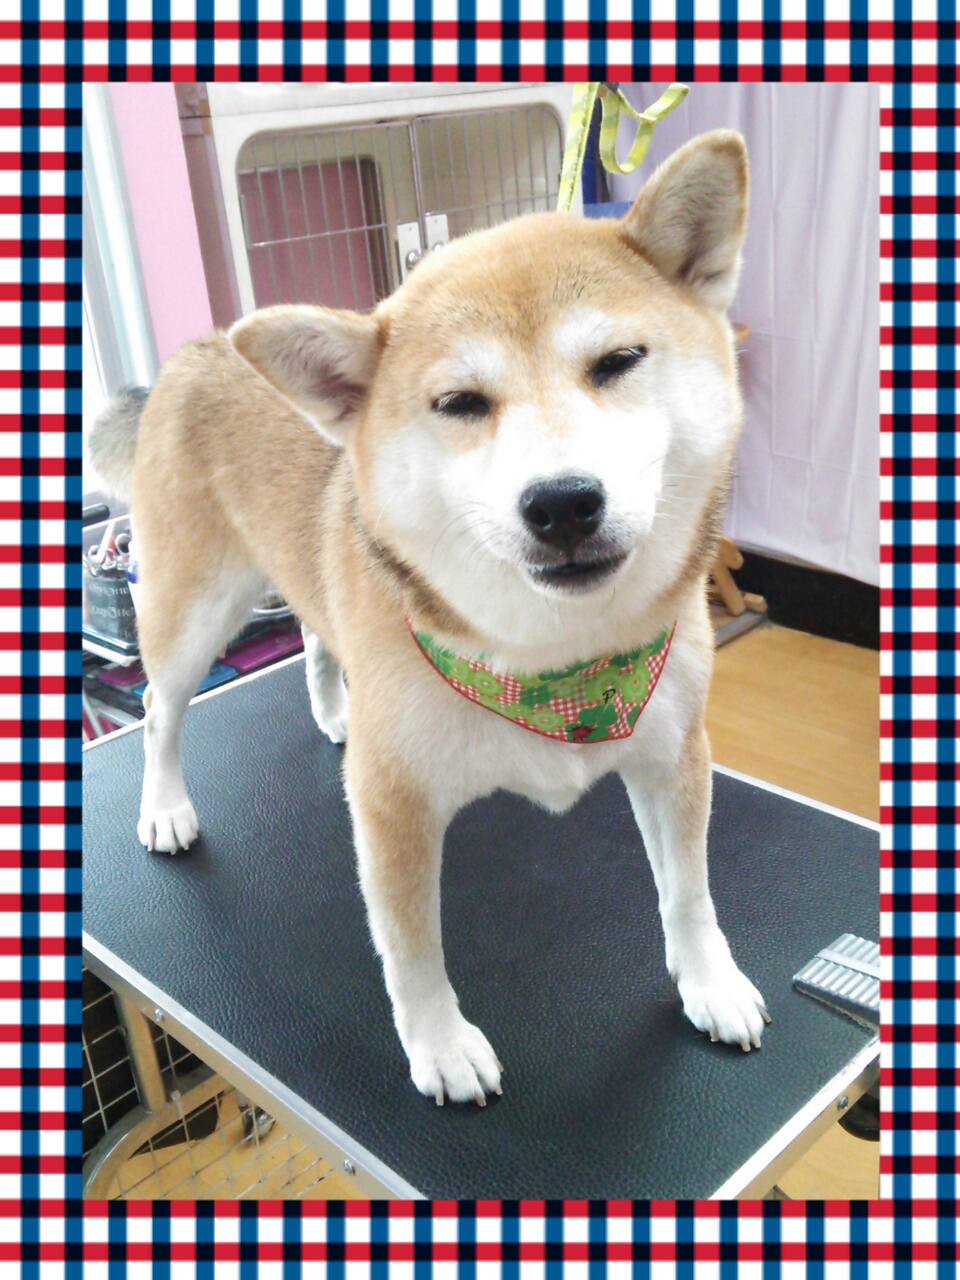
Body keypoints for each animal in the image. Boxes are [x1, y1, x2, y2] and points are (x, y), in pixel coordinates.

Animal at [90, 129, 769, 1106]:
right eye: (459, 404)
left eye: (618, 362)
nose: (562, 503)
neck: (558, 667)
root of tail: (192, 350)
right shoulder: (392, 805)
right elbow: (411, 949)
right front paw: (440, 1044)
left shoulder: (674, 751)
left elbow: (689, 891)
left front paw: (710, 983)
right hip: (193, 612)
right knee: (156, 711)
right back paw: (165, 809)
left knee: (315, 635)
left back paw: (334, 710)